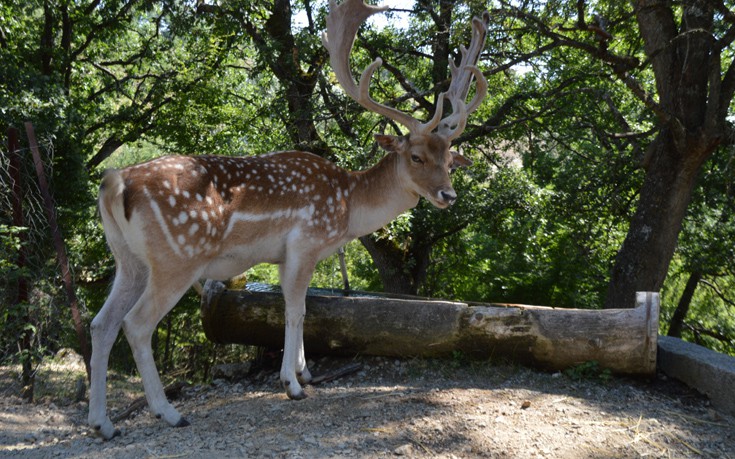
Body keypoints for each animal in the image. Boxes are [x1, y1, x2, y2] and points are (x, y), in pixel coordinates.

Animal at [87, 0, 488, 440]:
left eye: (449, 159)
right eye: (416, 156)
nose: (448, 195)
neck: (347, 206)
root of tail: (115, 182)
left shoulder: (284, 255)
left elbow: (301, 307)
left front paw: (304, 372)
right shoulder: (305, 242)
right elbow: (296, 309)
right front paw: (292, 385)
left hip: (128, 260)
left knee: (101, 324)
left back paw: (104, 424)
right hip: (176, 257)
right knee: (137, 324)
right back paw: (169, 412)